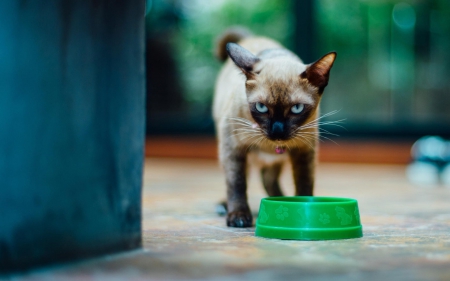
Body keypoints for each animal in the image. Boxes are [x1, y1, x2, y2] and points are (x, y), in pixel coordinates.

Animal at [213, 27, 336, 225]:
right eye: (261, 107)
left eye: (297, 108)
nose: (277, 130)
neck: (270, 145)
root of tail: (252, 37)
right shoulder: (233, 148)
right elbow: (236, 184)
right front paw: (239, 216)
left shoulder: (304, 151)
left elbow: (304, 183)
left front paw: (300, 210)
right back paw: (226, 207)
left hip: (277, 160)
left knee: (268, 179)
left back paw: (280, 201)